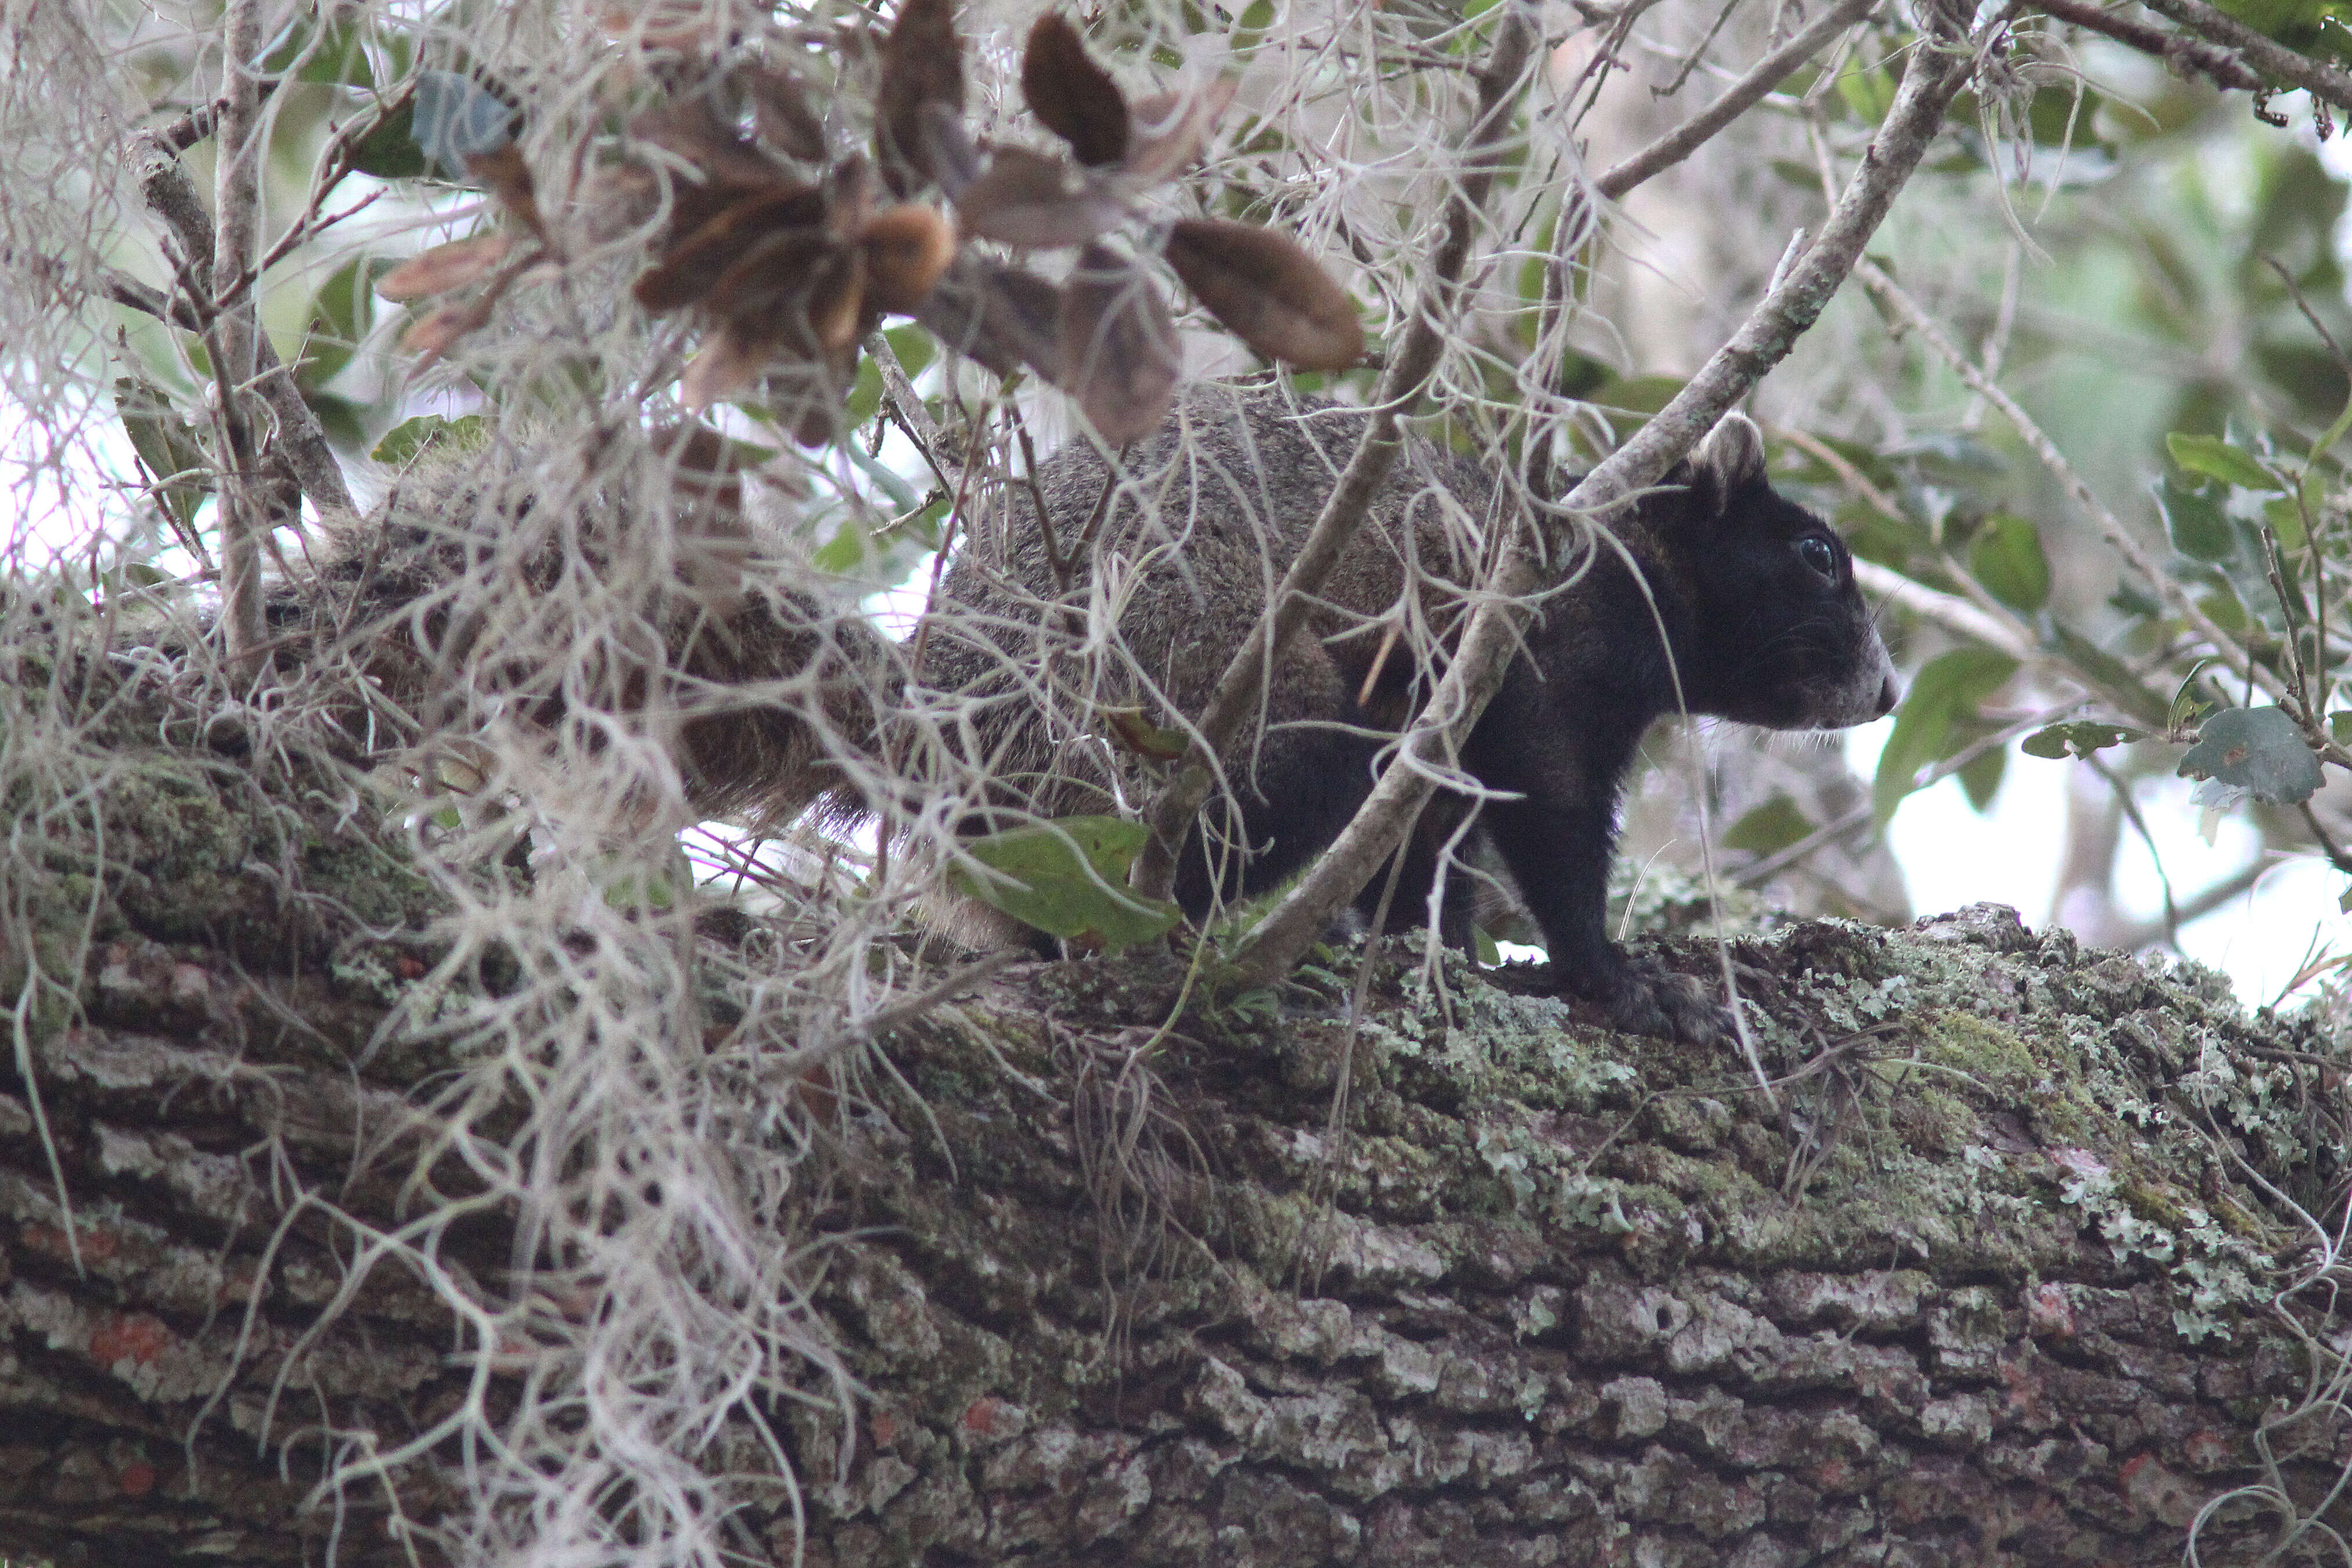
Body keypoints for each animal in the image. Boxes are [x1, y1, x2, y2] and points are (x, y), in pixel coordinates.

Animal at [262, 383, 1891, 1044]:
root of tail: (940, 747)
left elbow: (1427, 863)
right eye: (1815, 554)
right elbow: (1544, 829)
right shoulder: (1529, 676)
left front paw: (1433, 952)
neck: (1611, 569)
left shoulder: (1461, 748)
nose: (1878, 686)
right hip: (1254, 735)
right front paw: (1617, 980)